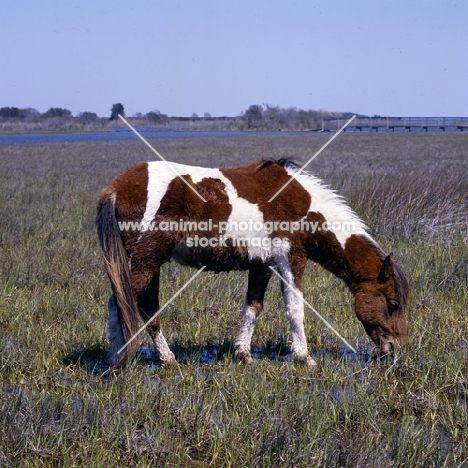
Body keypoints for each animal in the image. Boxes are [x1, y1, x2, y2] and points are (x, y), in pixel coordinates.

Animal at [97, 159, 408, 372]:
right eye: (392, 303)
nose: (394, 350)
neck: (305, 206)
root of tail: (115, 188)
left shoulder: (262, 265)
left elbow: (253, 308)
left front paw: (243, 354)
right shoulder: (291, 260)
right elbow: (295, 310)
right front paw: (304, 357)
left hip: (150, 263)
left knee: (142, 308)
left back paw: (155, 358)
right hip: (145, 261)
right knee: (121, 303)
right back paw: (122, 360)